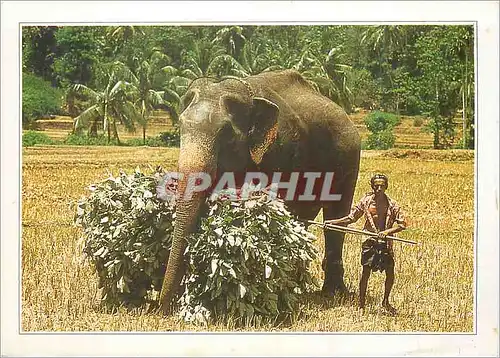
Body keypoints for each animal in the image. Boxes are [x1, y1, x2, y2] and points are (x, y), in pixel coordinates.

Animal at [160, 68, 360, 312]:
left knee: (336, 217)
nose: (161, 308)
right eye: (180, 126)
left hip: (348, 156)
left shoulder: (282, 150)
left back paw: (331, 292)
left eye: (226, 134)